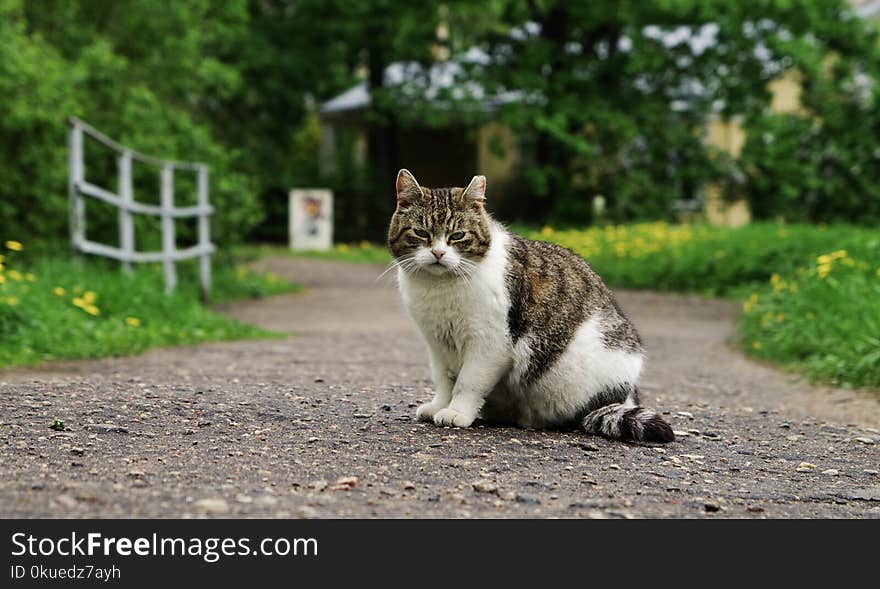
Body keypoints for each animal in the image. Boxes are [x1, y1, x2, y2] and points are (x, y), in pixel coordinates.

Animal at [384, 168, 672, 444]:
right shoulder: (438, 344)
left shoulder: (490, 343)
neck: (440, 288)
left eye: (457, 236)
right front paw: (440, 405)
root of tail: (628, 394)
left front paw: (457, 411)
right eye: (421, 233)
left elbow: (468, 382)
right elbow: (444, 380)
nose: (438, 253)